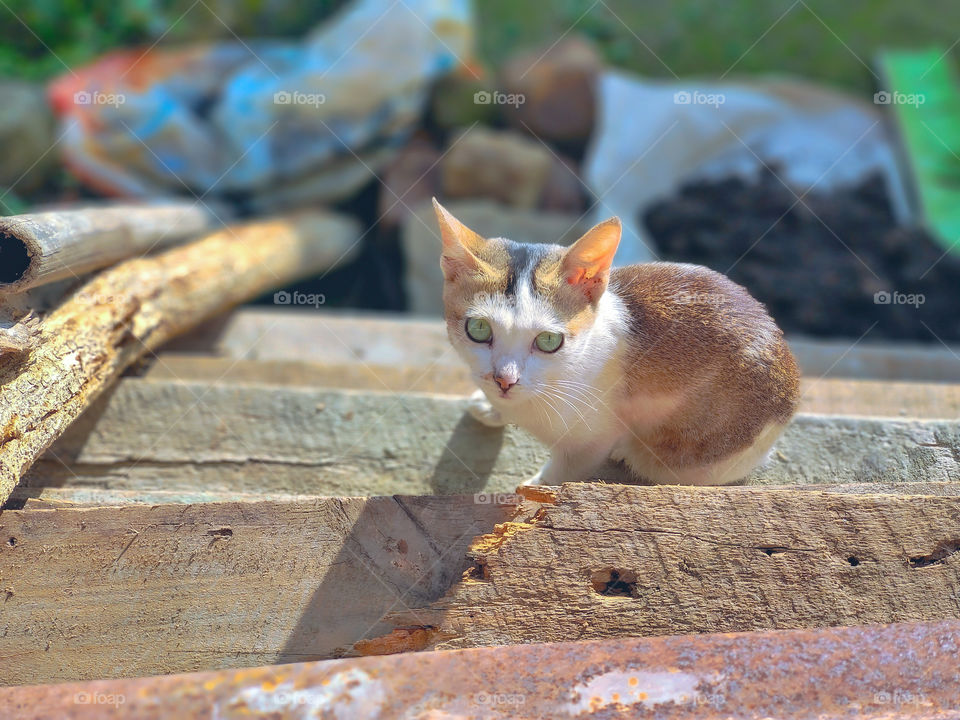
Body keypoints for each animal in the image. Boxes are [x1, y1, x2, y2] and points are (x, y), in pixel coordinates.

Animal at [436, 200, 804, 486]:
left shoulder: (589, 442)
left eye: (549, 340)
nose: (504, 380)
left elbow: (560, 474)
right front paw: (489, 407)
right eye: (479, 329)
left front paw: (530, 492)